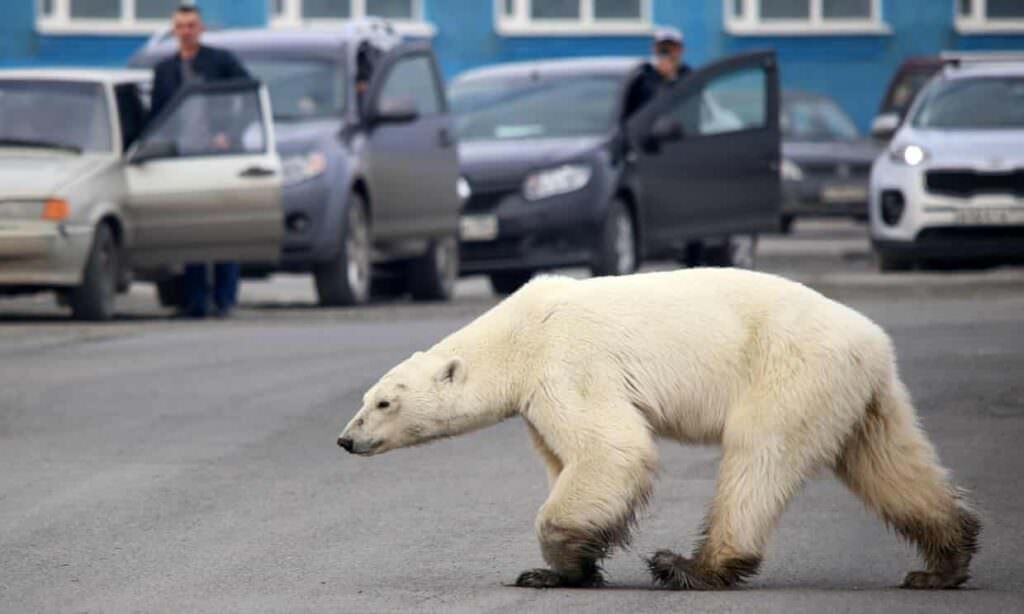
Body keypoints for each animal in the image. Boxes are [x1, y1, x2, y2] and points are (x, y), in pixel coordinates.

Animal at [336, 268, 980, 590]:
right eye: (366, 399)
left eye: (384, 402)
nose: (345, 439)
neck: (516, 334)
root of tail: (873, 341)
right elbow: (567, 459)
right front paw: (560, 569)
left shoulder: (567, 362)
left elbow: (610, 449)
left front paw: (558, 563)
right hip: (859, 393)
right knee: (889, 463)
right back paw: (941, 564)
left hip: (789, 368)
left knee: (758, 456)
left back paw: (691, 566)